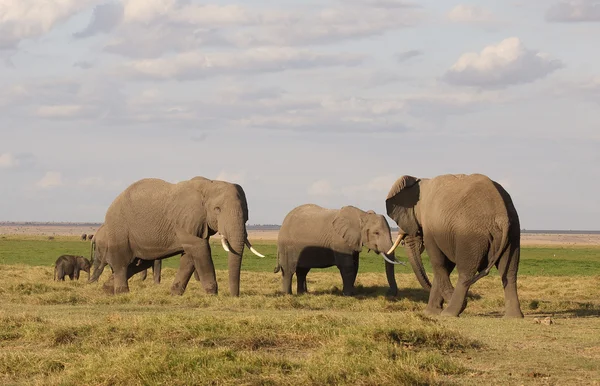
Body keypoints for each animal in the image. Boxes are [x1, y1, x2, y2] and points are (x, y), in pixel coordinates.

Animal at [92, 176, 264, 298]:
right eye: (217, 209)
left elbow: (189, 255)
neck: (209, 185)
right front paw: (212, 294)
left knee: (137, 264)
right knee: (122, 262)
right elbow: (200, 246)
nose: (234, 296)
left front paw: (175, 293)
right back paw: (122, 293)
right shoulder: (184, 219)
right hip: (119, 227)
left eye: (246, 211)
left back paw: (107, 289)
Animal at [274, 205, 406, 296]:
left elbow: (355, 266)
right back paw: (287, 295)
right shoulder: (340, 242)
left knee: (302, 271)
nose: (389, 293)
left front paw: (351, 293)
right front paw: (348, 295)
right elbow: (347, 266)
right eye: (376, 233)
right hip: (287, 247)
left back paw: (303, 294)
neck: (362, 215)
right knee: (289, 270)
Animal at [386, 173, 524, 318]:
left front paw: (437, 311)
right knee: (509, 272)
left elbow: (438, 262)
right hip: (513, 234)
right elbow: (446, 265)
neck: (421, 182)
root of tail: (501, 216)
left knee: (465, 273)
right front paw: (432, 312)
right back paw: (513, 317)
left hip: (471, 237)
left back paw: (450, 313)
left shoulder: (431, 227)